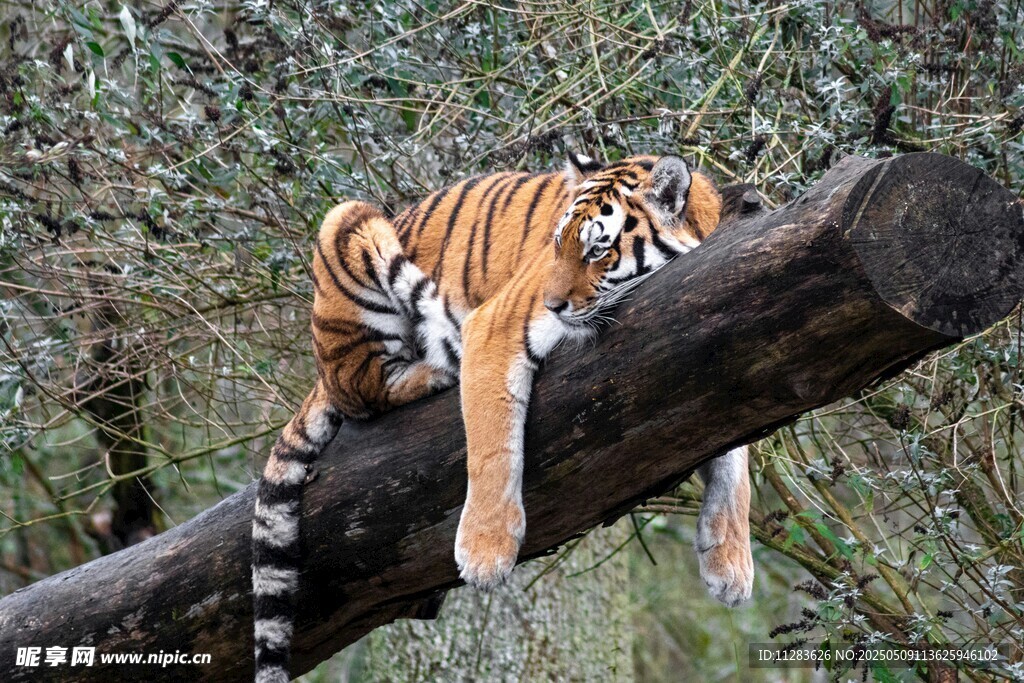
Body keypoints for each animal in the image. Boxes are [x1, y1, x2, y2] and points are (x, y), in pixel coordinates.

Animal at [250, 153, 755, 683]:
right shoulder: (493, 327)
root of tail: (319, 371)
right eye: (557, 244)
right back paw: (435, 371)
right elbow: (493, 447)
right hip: (348, 223)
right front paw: (485, 554)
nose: (552, 304)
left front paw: (731, 563)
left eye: (598, 250)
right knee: (364, 390)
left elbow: (735, 460)